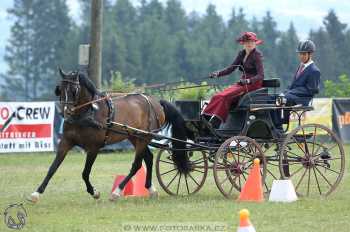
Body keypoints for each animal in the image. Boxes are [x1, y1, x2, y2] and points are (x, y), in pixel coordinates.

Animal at [29, 69, 189, 203]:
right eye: (60, 89)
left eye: (74, 90)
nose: (66, 112)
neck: (87, 113)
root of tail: (156, 102)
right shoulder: (66, 142)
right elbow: (52, 168)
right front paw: (36, 194)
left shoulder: (93, 148)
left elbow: (85, 173)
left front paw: (94, 192)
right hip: (135, 137)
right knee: (148, 159)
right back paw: (151, 190)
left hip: (144, 138)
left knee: (137, 164)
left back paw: (117, 192)